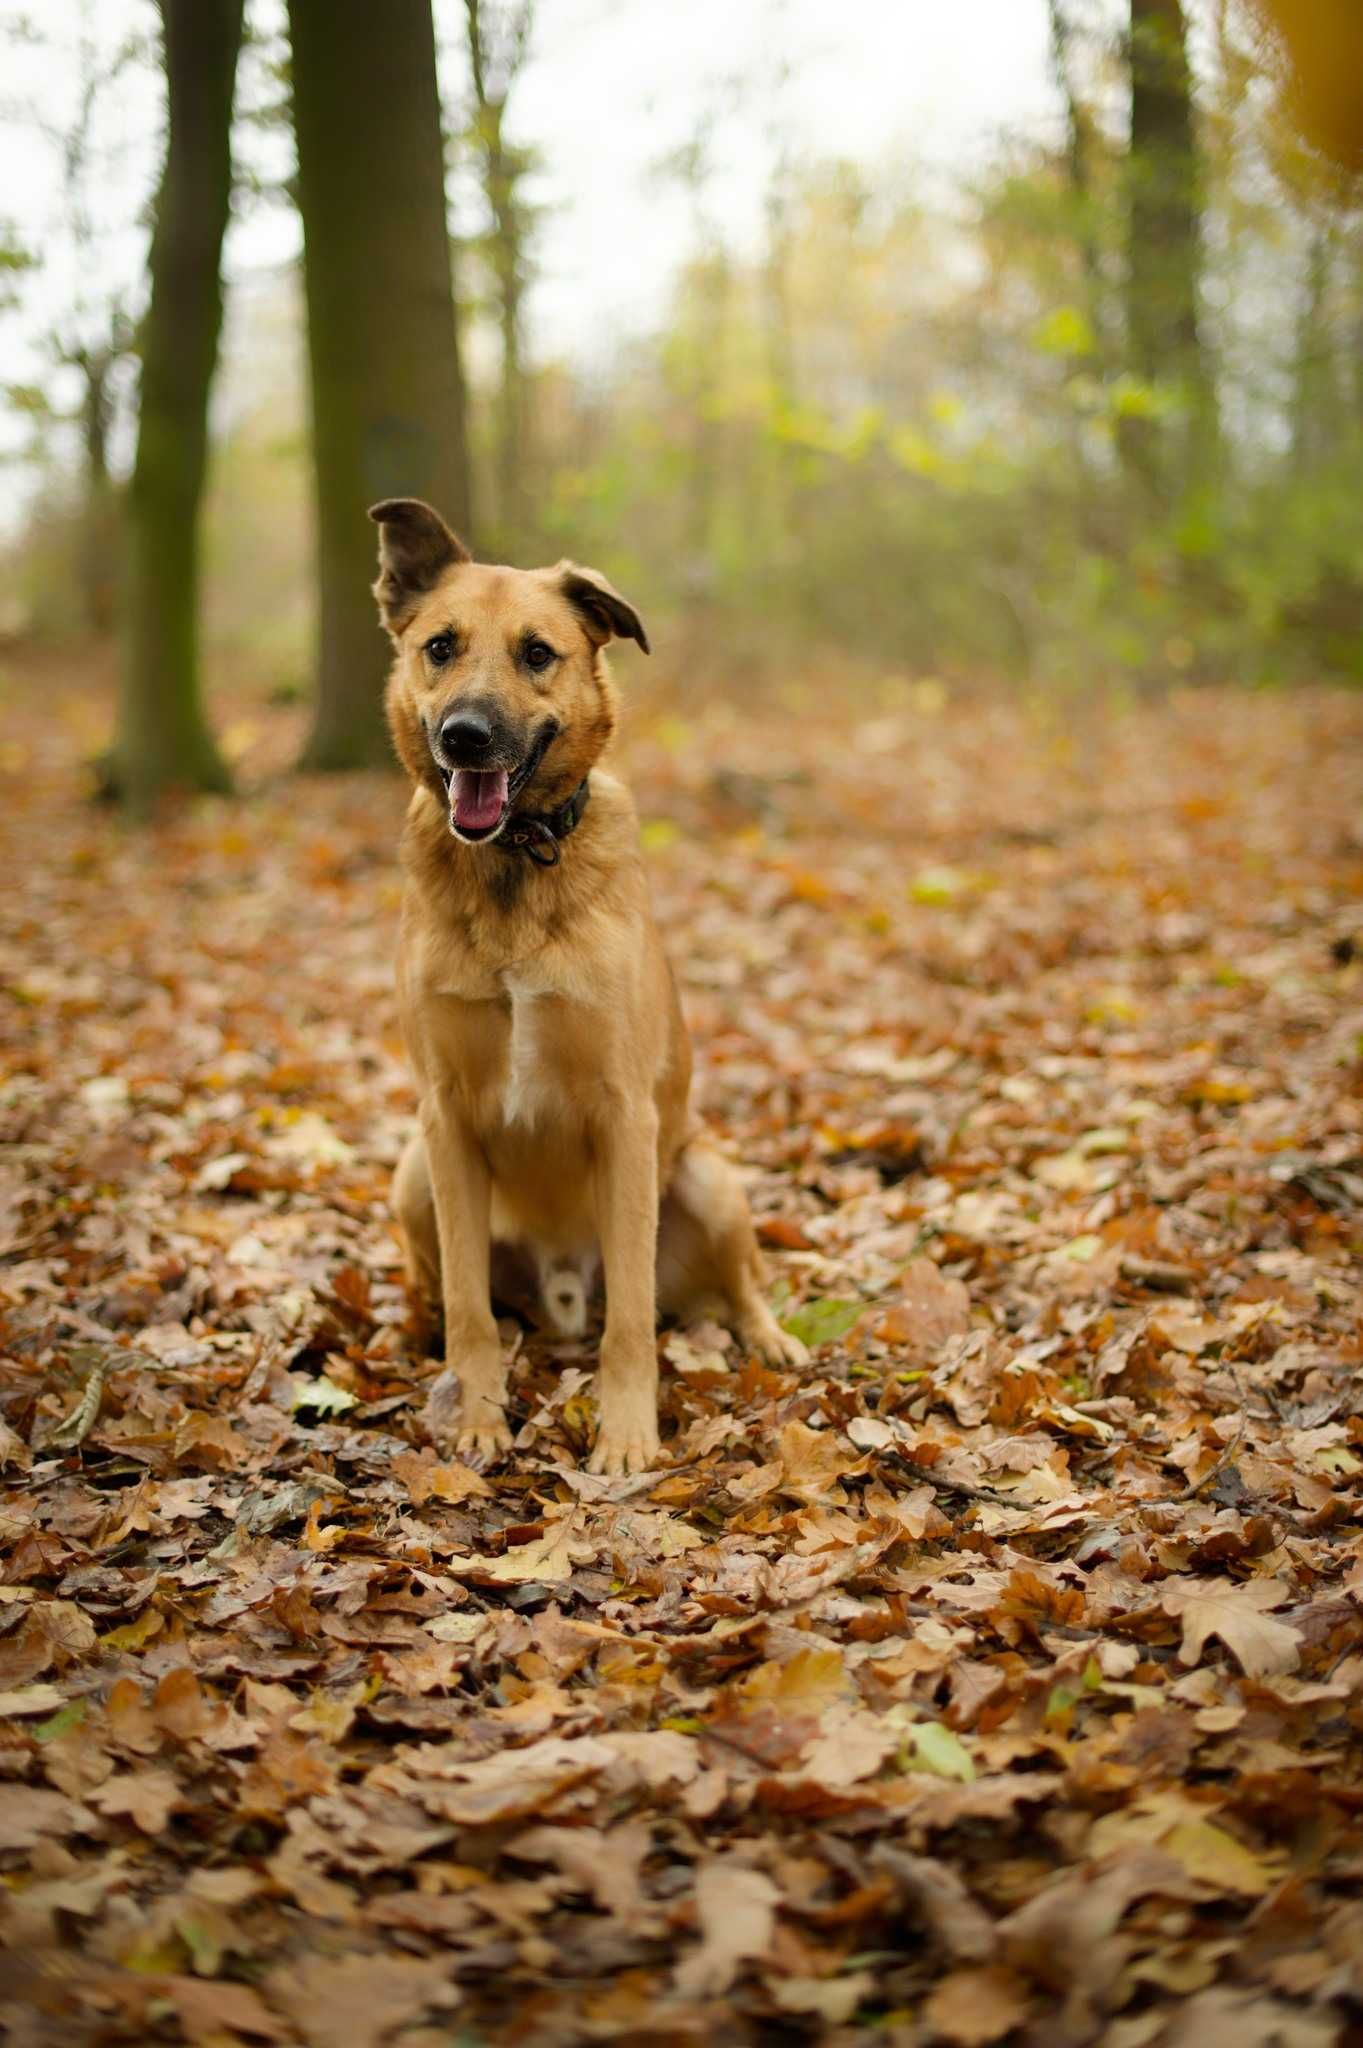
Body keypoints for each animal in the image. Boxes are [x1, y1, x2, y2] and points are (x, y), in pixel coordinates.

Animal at [368, 495, 806, 1474]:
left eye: (537, 653)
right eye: (439, 646)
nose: (464, 736)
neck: (516, 867)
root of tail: (564, 1291)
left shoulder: (624, 1115)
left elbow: (633, 1323)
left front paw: (627, 1436)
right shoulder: (444, 1119)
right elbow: (467, 1307)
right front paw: (478, 1416)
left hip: (704, 1178)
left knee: (736, 1285)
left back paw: (767, 1338)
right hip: (413, 1173)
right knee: (461, 1297)